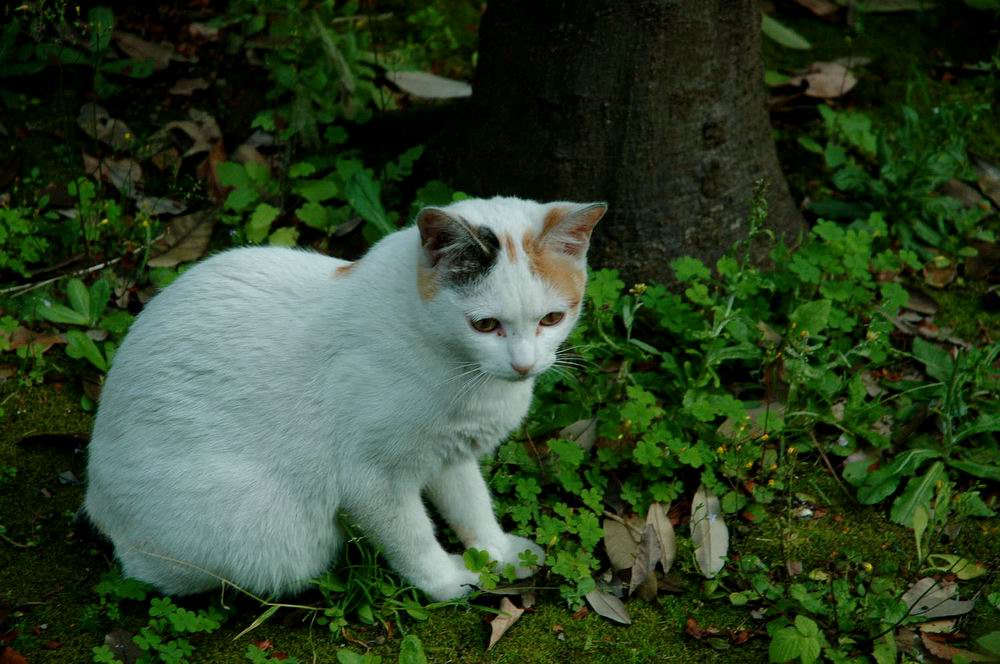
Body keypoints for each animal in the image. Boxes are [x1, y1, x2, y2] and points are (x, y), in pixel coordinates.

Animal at [86, 195, 604, 600]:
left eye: (552, 318)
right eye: (485, 325)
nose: (524, 364)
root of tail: (96, 500)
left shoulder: (451, 455)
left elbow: (473, 506)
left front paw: (497, 553)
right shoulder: (373, 480)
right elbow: (413, 538)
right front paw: (447, 582)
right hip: (280, 538)